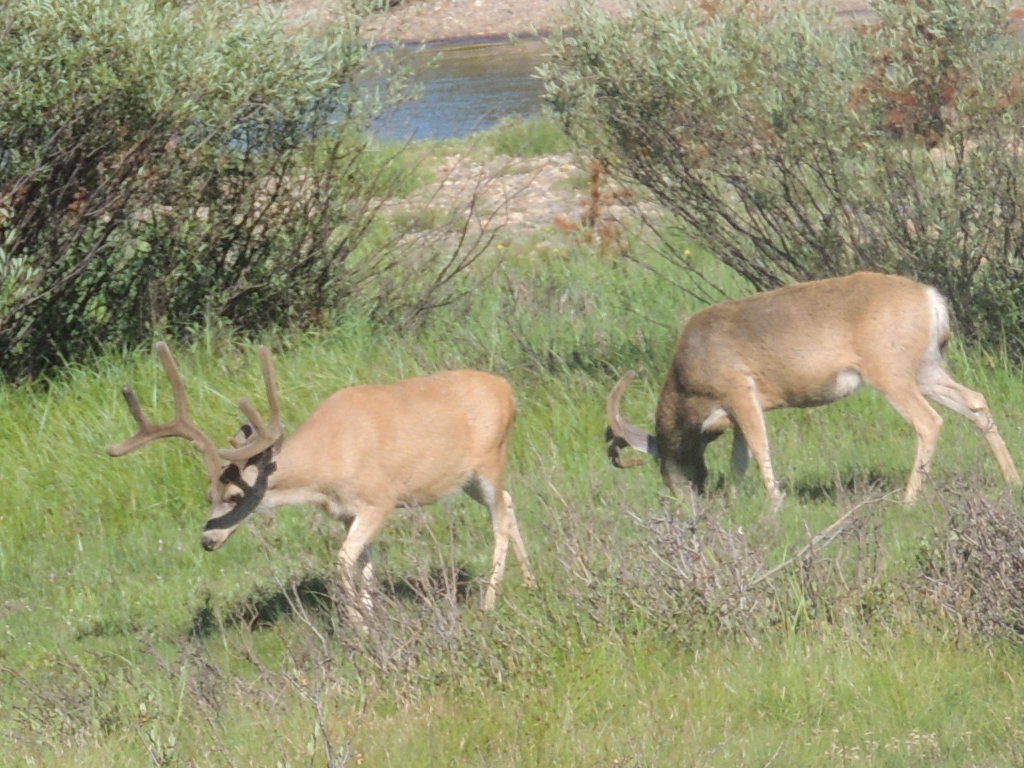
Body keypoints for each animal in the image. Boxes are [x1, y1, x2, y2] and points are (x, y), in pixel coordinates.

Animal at [105, 342, 535, 624]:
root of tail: (509, 390)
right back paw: (529, 584)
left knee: (499, 519)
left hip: (491, 460)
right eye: (207, 493)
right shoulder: (346, 513)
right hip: (468, 478)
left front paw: (358, 627)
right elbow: (364, 564)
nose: (208, 541)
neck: (326, 463)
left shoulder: (380, 499)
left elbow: (343, 562)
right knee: (510, 501)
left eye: (233, 495)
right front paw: (370, 619)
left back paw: (488, 602)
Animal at [606, 271, 1021, 505]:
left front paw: (775, 501)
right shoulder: (739, 410)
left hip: (889, 371)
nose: (684, 499)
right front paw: (737, 501)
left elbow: (759, 448)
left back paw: (907, 500)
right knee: (975, 402)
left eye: (663, 460)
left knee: (929, 421)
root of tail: (930, 298)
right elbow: (740, 457)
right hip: (927, 369)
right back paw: (1012, 480)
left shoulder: (739, 390)